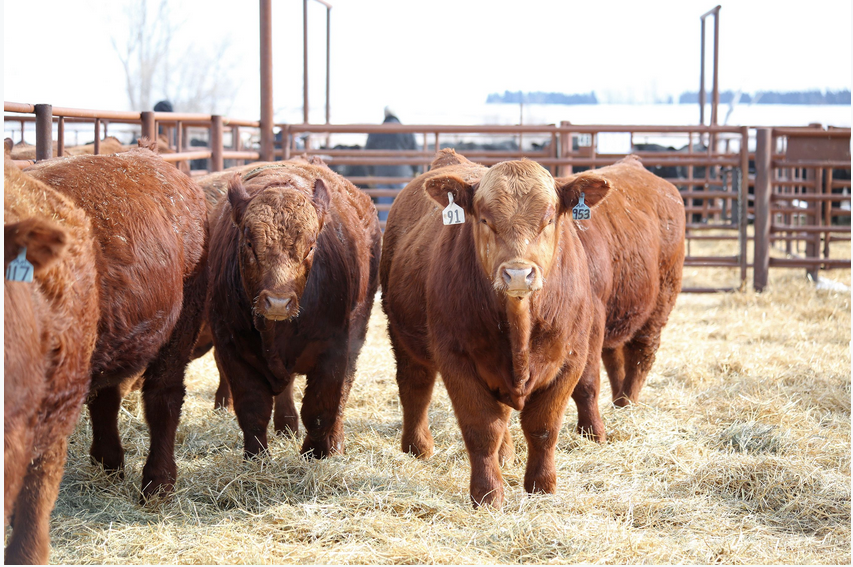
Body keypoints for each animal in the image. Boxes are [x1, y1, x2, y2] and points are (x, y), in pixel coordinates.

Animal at [206, 158, 380, 460]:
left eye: (310, 246)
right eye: (249, 243)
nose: (277, 302)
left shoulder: (334, 349)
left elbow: (320, 407)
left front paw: (316, 452)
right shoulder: (231, 349)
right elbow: (252, 409)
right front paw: (256, 456)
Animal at [382, 150, 684, 506]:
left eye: (549, 219)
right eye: (485, 220)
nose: (518, 273)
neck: (520, 325)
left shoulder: (573, 353)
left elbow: (548, 422)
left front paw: (543, 484)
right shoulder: (457, 359)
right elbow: (482, 428)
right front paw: (488, 493)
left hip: (660, 304)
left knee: (640, 356)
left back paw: (627, 405)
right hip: (401, 334)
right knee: (415, 386)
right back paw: (419, 447)